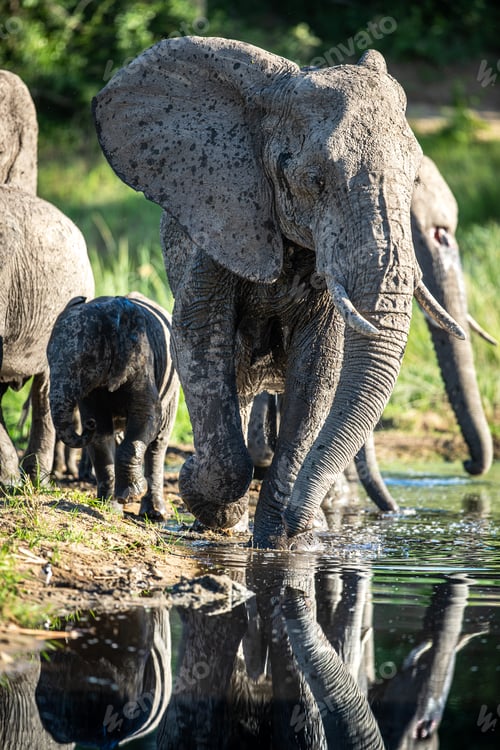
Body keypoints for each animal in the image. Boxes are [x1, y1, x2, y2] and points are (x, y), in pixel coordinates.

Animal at [46, 292, 180, 520]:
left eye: (86, 362)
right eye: (47, 358)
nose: (88, 425)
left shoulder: (140, 358)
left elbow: (147, 416)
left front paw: (131, 495)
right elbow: (101, 435)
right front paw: (109, 508)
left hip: (173, 385)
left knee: (158, 442)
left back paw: (154, 514)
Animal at [93, 36, 464, 548]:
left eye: (413, 180)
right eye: (315, 181)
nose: (298, 523)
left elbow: (320, 365)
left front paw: (281, 546)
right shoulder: (222, 220)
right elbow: (199, 334)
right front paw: (204, 495)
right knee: (234, 377)